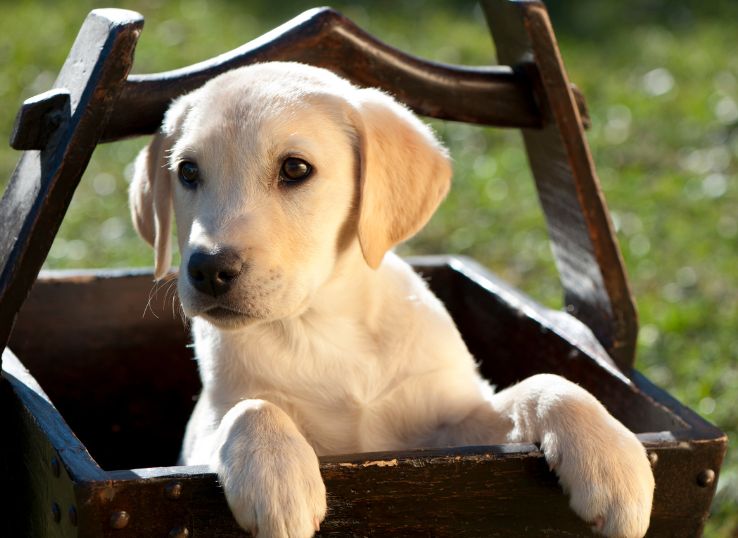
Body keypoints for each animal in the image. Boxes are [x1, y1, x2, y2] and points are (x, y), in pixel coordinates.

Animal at [129, 61, 652, 536]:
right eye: (188, 172)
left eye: (295, 168)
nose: (208, 269)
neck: (322, 323)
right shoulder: (203, 434)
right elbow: (252, 406)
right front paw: (275, 476)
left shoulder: (452, 427)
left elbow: (548, 383)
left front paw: (612, 462)